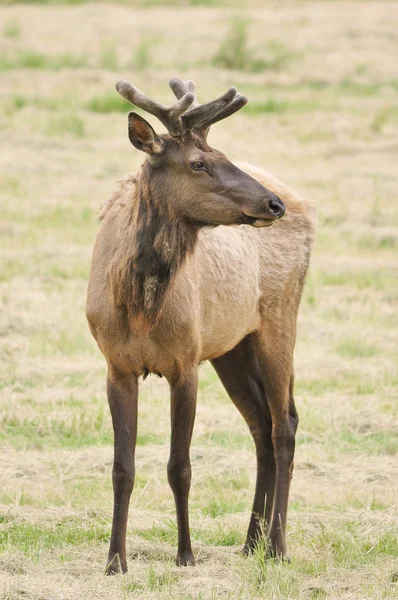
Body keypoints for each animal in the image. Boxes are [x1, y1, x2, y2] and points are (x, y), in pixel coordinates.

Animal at [86, 77, 314, 576]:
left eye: (222, 154)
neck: (140, 306)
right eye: (199, 162)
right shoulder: (116, 364)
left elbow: (180, 466)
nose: (273, 204)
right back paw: (250, 542)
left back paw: (278, 545)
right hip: (232, 347)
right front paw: (115, 560)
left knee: (284, 423)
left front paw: (185, 554)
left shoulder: (186, 361)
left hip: (280, 318)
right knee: (260, 425)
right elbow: (121, 467)